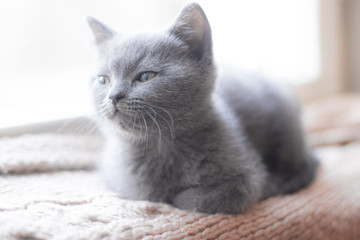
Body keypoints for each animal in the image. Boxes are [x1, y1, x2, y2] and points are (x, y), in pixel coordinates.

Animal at [87, 3, 318, 214]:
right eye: (103, 80)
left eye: (146, 76)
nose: (113, 96)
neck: (161, 145)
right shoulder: (120, 181)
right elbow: (146, 193)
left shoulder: (247, 177)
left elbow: (197, 199)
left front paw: (177, 197)